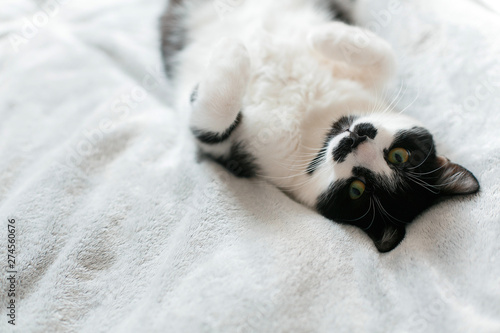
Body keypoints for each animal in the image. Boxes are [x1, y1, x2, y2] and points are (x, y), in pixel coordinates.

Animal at [161, 0, 480, 250]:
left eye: (356, 190)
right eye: (399, 156)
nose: (355, 140)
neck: (318, 124)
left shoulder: (236, 155)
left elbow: (212, 125)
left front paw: (233, 50)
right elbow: (386, 57)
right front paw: (324, 35)